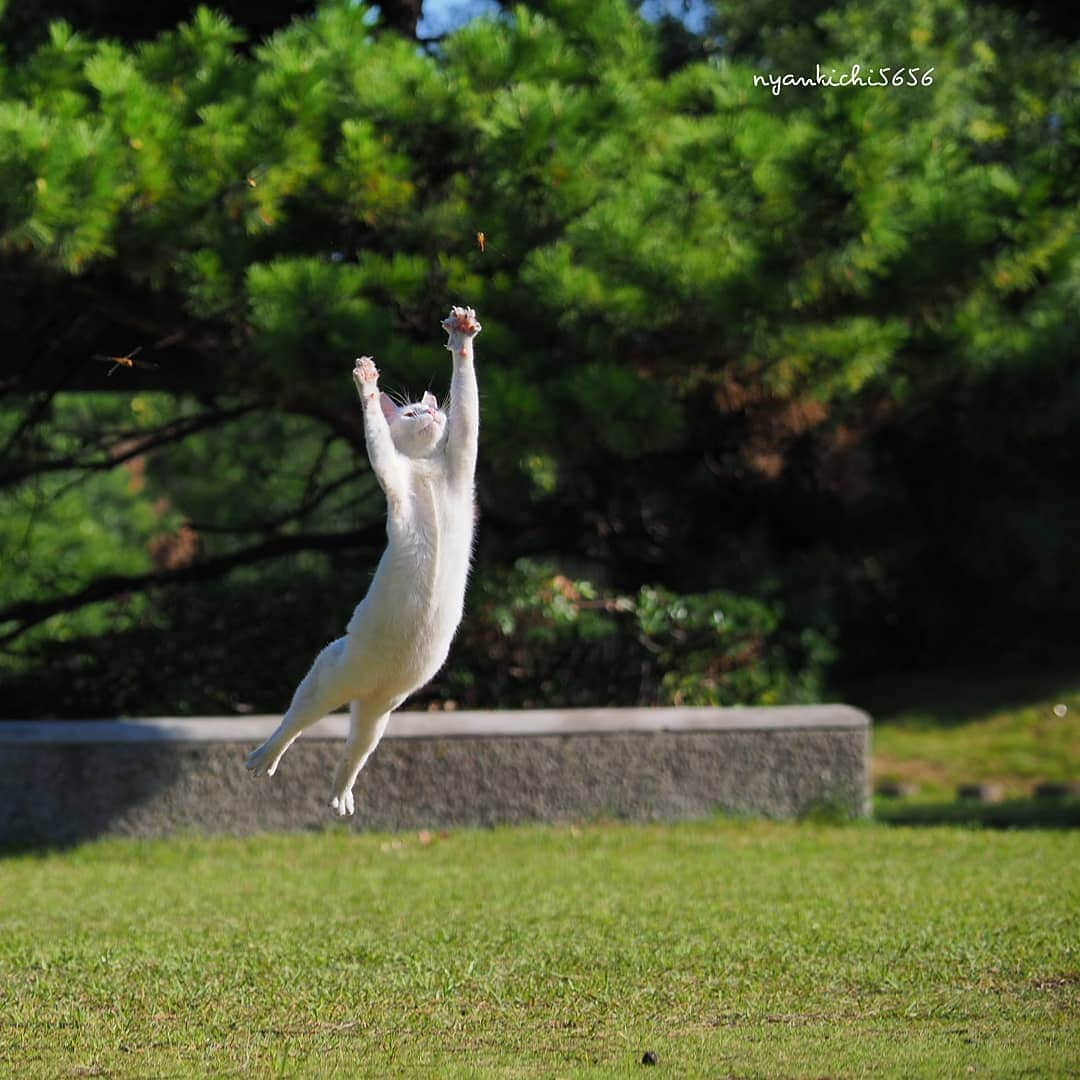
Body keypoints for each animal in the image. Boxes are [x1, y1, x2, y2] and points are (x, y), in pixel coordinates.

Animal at [247, 304, 483, 812]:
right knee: (297, 716)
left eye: (434, 408)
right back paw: (266, 755)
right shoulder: (391, 471)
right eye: (413, 411)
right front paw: (367, 382)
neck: (426, 468)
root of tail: (367, 689)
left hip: (379, 710)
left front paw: (462, 337)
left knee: (357, 746)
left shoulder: (461, 458)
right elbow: (375, 433)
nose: (431, 413)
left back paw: (340, 793)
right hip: (330, 670)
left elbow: (468, 405)